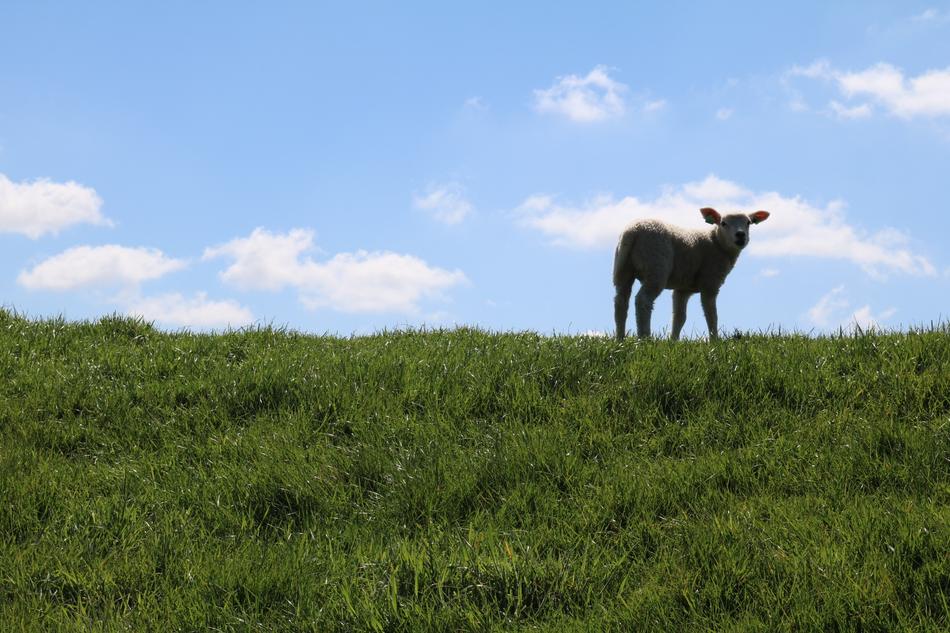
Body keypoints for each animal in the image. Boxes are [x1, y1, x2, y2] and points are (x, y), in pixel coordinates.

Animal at [612, 207, 770, 341]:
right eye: (723, 223)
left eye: (748, 223)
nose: (740, 235)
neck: (716, 243)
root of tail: (632, 231)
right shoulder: (710, 282)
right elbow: (712, 314)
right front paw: (714, 341)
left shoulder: (683, 289)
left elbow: (679, 317)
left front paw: (673, 341)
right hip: (656, 266)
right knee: (643, 300)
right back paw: (645, 338)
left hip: (623, 269)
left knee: (621, 300)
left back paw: (620, 339)